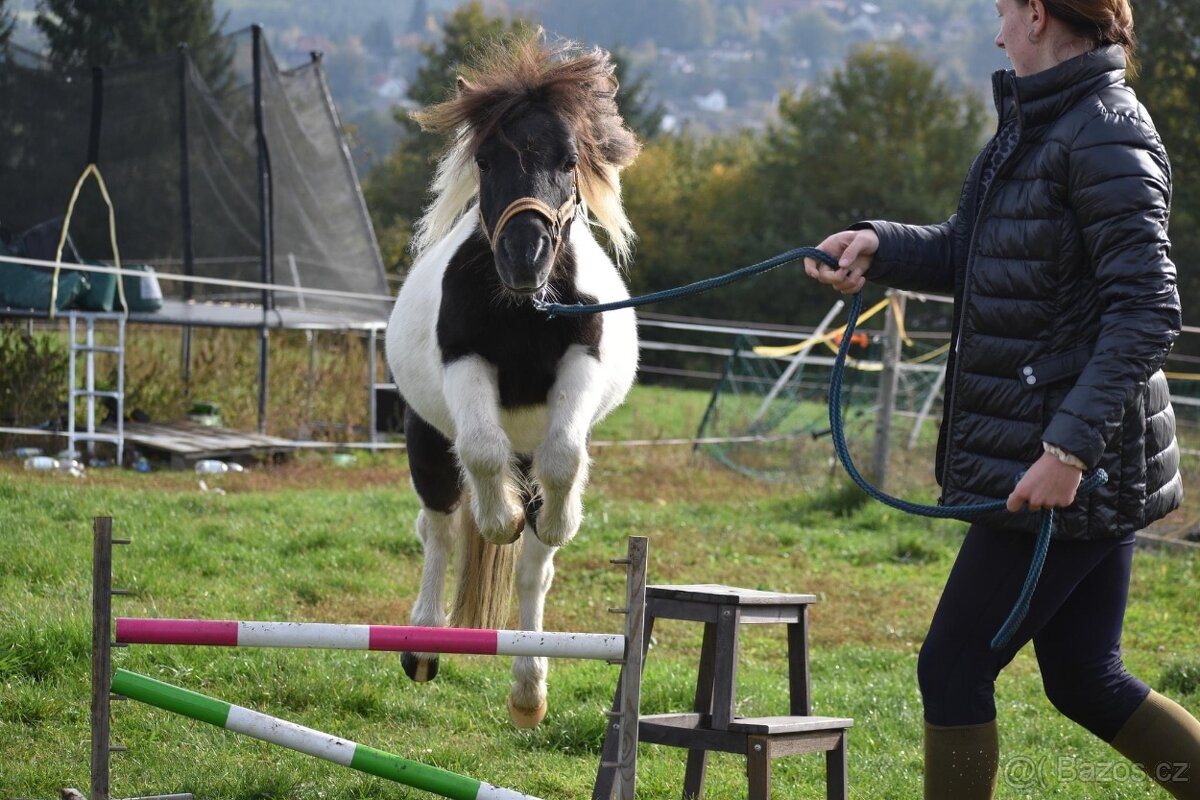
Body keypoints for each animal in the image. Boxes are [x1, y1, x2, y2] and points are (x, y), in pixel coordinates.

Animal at [388, 35, 643, 724]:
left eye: (569, 158)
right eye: (485, 156)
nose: (524, 258)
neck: (527, 309)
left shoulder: (580, 362)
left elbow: (564, 459)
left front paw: (557, 520)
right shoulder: (465, 362)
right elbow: (480, 452)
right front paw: (497, 516)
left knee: (533, 571)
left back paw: (529, 688)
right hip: (426, 439)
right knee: (440, 529)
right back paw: (423, 644)